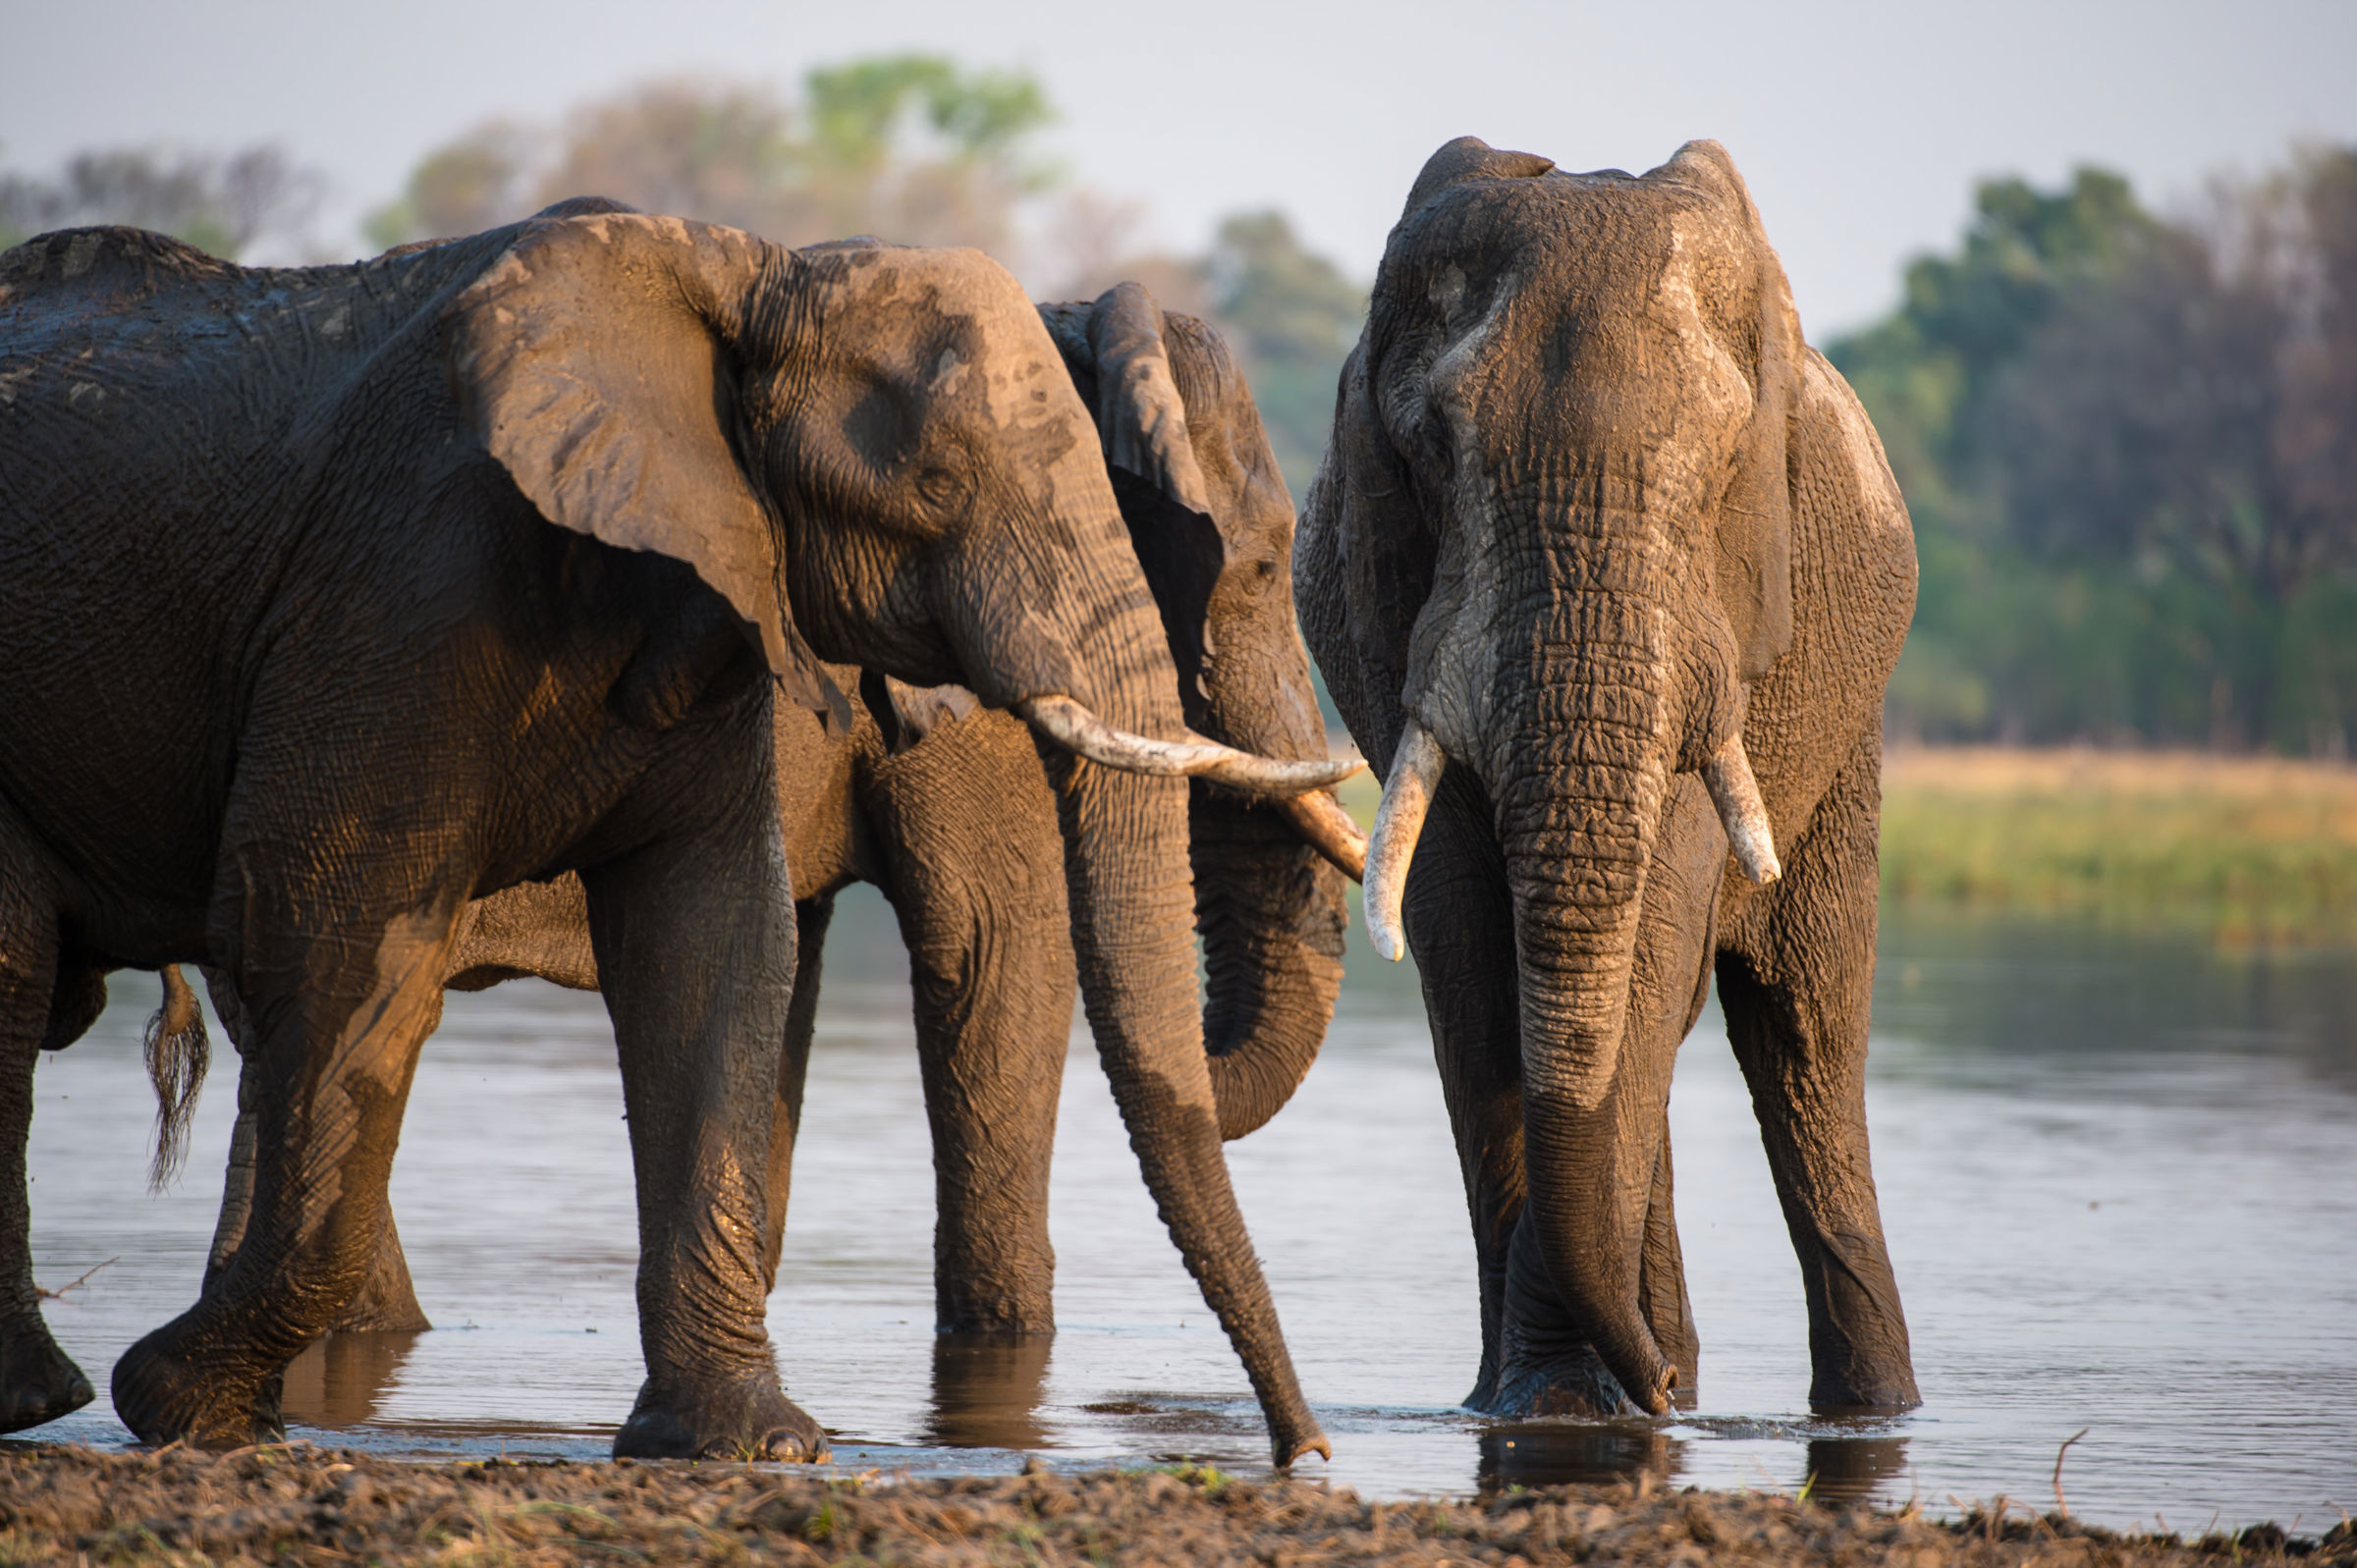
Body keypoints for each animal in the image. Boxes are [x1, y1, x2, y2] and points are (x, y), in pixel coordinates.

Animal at [0, 201, 1357, 1461]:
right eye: (1258, 566)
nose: (1308, 1452)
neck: (760, 281)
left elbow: (731, 950)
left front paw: (743, 1438)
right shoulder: (403, 593)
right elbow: (993, 960)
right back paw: (84, 1396)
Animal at [1300, 136, 1923, 1414]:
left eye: (1730, 459)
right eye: (1434, 449)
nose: (1664, 1385)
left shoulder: (1726, 624)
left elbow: (1651, 953)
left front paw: (1580, 1404)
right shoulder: (1395, 635)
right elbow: (1469, 953)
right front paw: (1549, 1407)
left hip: (1847, 732)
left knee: (1808, 1036)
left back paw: (1860, 1406)